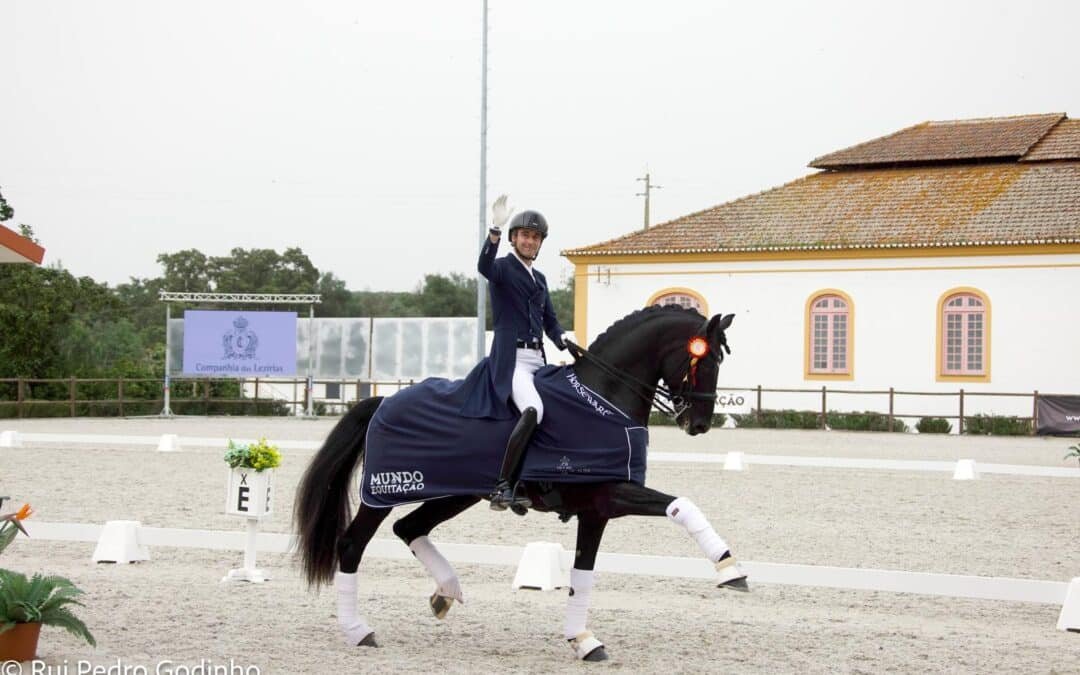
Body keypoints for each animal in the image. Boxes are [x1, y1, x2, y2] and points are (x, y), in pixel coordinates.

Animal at [294, 305, 747, 661]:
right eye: (705, 360)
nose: (699, 424)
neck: (603, 399)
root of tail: (383, 401)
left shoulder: (598, 509)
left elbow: (582, 575)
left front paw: (583, 641)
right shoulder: (612, 492)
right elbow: (681, 505)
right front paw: (730, 570)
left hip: (455, 495)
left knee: (410, 527)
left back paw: (446, 591)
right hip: (384, 493)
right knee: (353, 545)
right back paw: (359, 631)